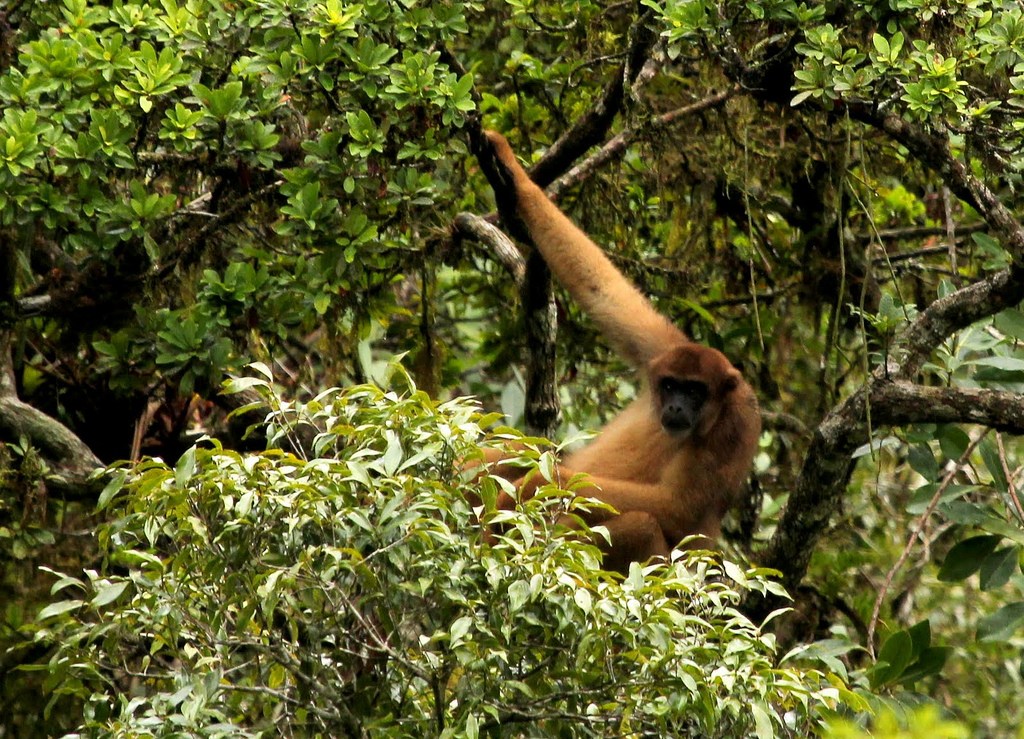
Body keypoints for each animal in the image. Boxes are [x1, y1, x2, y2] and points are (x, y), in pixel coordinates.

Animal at [475, 131, 757, 569]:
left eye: (695, 391)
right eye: (671, 385)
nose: (676, 406)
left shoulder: (736, 424)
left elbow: (677, 509)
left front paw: (543, 481)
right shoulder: (665, 349)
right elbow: (604, 293)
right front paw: (511, 171)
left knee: (641, 523)